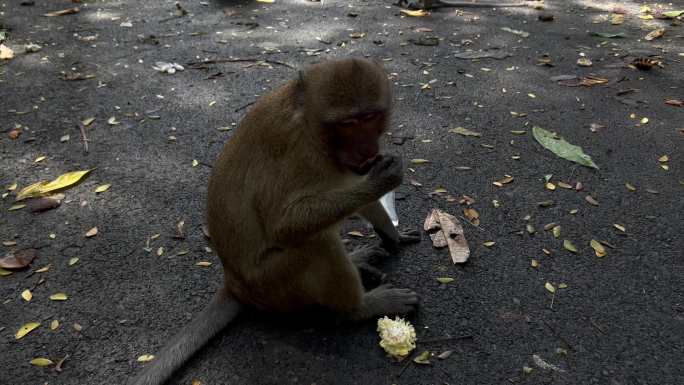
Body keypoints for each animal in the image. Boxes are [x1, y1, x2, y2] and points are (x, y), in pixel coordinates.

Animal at [125, 57, 420, 384]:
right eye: (348, 124)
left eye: (369, 117)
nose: (366, 149)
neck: (311, 126)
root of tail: (234, 283)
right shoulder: (298, 152)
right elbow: (284, 225)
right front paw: (383, 181)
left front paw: (389, 230)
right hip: (272, 282)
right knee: (315, 241)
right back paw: (359, 308)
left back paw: (357, 261)